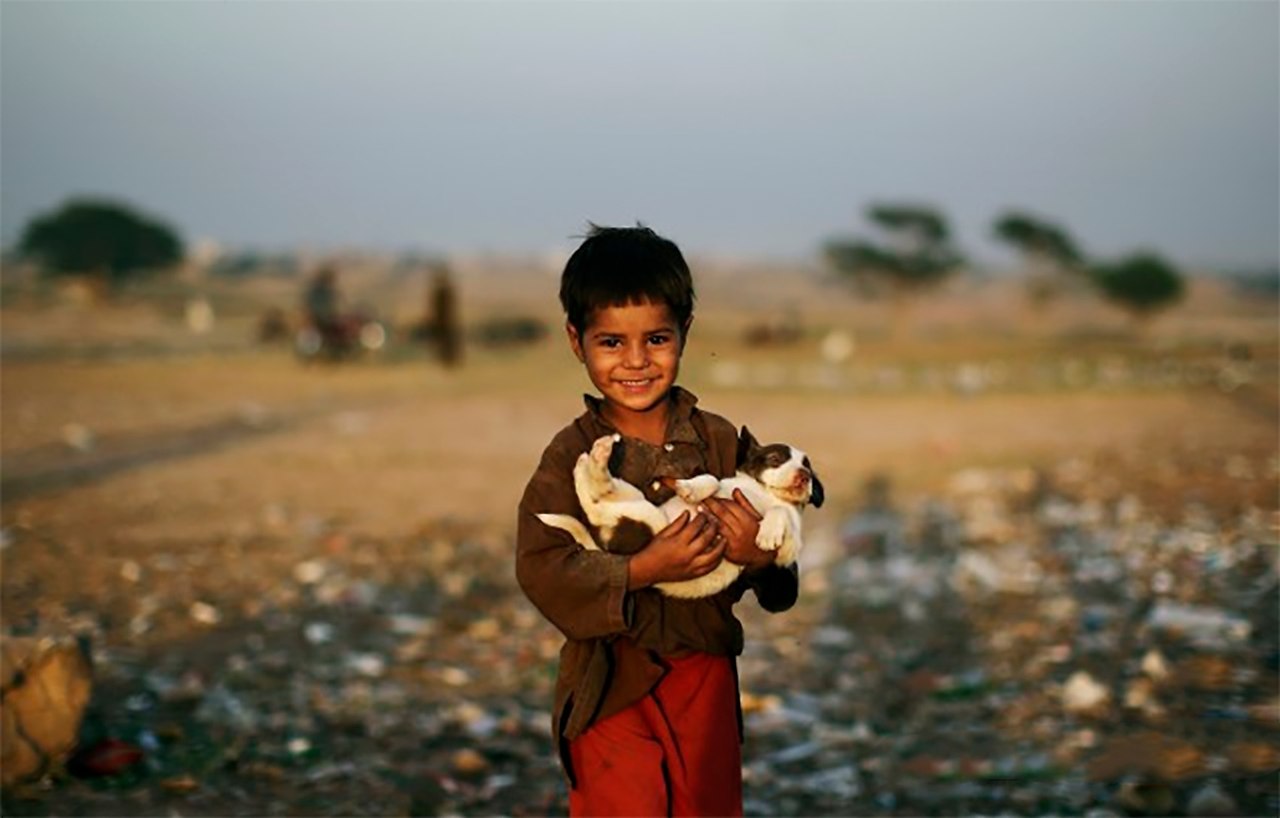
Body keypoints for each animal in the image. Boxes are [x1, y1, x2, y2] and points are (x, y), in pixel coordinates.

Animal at [535, 432, 824, 599]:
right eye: (775, 459)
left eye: (808, 468)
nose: (804, 476)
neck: (765, 493)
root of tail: (605, 546)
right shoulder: (723, 483)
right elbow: (710, 479)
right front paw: (690, 489)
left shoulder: (788, 550)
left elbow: (780, 512)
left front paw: (767, 534)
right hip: (639, 503)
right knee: (596, 497)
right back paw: (592, 457)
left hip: (644, 515)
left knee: (595, 503)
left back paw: (595, 458)